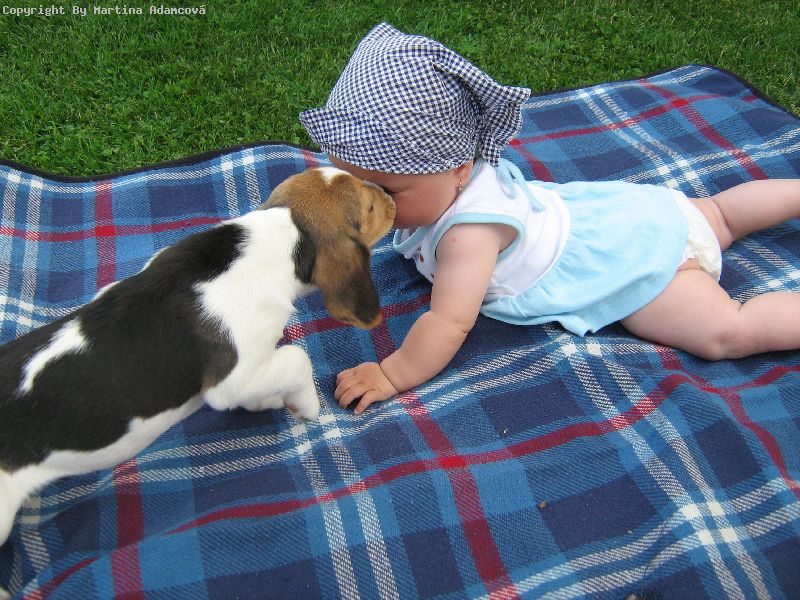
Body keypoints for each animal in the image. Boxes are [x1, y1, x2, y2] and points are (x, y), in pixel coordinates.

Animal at [0, 167, 395, 546]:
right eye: (369, 207)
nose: (390, 194)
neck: (281, 230)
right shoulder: (231, 381)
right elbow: (296, 358)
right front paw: (304, 406)